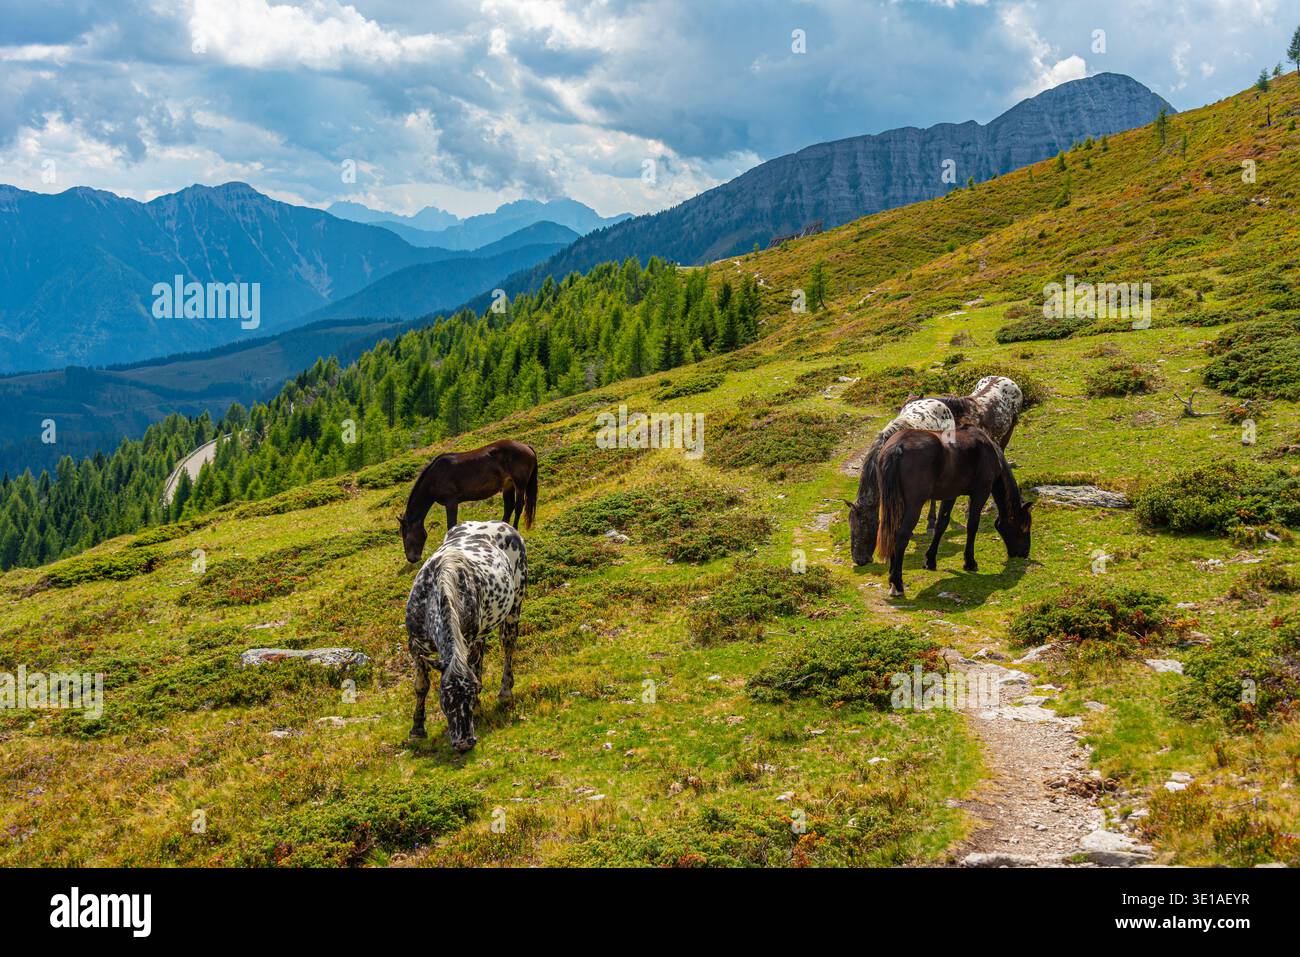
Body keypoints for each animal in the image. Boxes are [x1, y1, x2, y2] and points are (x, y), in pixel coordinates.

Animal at [398, 439, 538, 564]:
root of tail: (526, 446)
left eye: (406, 536)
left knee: (519, 506)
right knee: (509, 507)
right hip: (508, 484)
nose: (411, 559)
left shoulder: (451, 502)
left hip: (519, 484)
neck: (435, 476)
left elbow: (451, 525)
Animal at [405, 520, 527, 752]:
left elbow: (474, 672)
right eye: (445, 697)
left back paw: (505, 691)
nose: (464, 742)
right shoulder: (415, 646)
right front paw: (416, 728)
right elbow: (421, 686)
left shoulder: (468, 641)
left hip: (515, 604)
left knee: (508, 645)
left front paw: (477, 707)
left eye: (471, 693)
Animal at [874, 426, 1032, 597]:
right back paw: (897, 583)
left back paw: (892, 576)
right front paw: (970, 562)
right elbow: (972, 525)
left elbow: (941, 524)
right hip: (914, 506)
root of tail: (899, 446)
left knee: (893, 532)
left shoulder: (950, 495)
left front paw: (930, 560)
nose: (1025, 553)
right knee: (902, 536)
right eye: (1023, 528)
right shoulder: (980, 493)